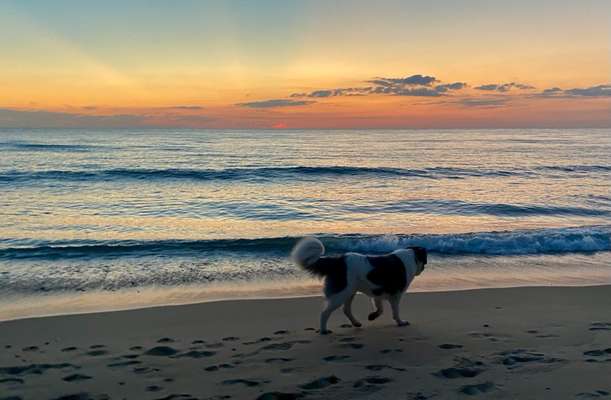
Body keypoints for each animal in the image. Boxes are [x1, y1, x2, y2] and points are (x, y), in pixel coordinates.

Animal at [292, 238, 428, 334]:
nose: (422, 269)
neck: (412, 255)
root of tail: (338, 261)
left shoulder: (377, 292)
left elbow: (380, 309)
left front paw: (372, 316)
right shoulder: (396, 294)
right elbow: (395, 311)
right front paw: (400, 322)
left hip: (349, 291)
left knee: (346, 309)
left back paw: (356, 323)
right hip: (341, 293)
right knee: (325, 312)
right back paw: (324, 330)